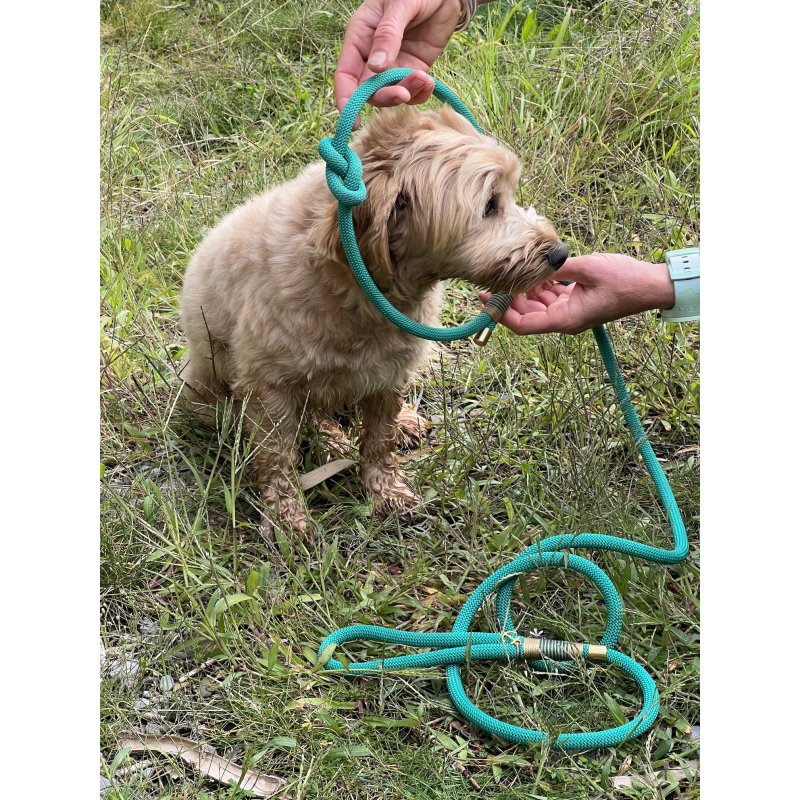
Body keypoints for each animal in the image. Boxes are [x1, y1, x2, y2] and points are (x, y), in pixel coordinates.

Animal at [181, 103, 568, 540]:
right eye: (489, 205)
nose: (560, 254)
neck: (358, 292)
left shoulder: (389, 372)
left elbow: (380, 439)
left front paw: (386, 491)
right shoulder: (268, 386)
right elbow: (277, 457)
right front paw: (285, 518)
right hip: (208, 388)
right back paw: (330, 443)